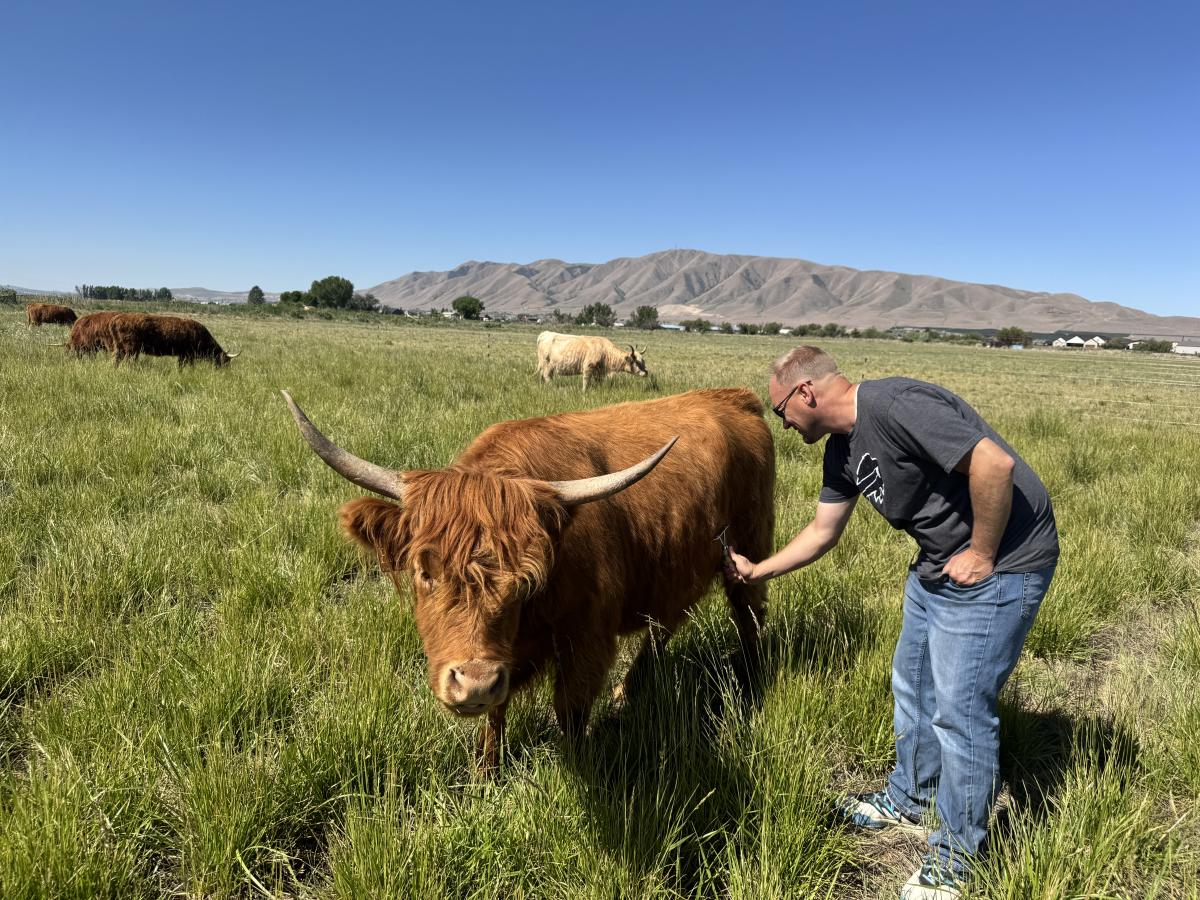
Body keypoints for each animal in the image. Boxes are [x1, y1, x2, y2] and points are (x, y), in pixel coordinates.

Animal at [107, 313, 239, 367]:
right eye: (225, 361)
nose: (226, 372)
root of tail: (115, 319)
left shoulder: (182, 354)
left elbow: (180, 367)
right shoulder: (188, 354)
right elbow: (189, 366)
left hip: (120, 348)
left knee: (115, 360)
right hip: (131, 349)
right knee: (127, 362)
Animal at [283, 387, 774, 769]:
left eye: (523, 582)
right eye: (425, 571)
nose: (474, 684)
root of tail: (735, 398)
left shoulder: (586, 639)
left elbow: (570, 711)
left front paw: (576, 765)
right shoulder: (506, 655)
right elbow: (496, 712)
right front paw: (486, 773)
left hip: (750, 547)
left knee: (747, 614)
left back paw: (751, 683)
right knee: (666, 625)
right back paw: (626, 693)